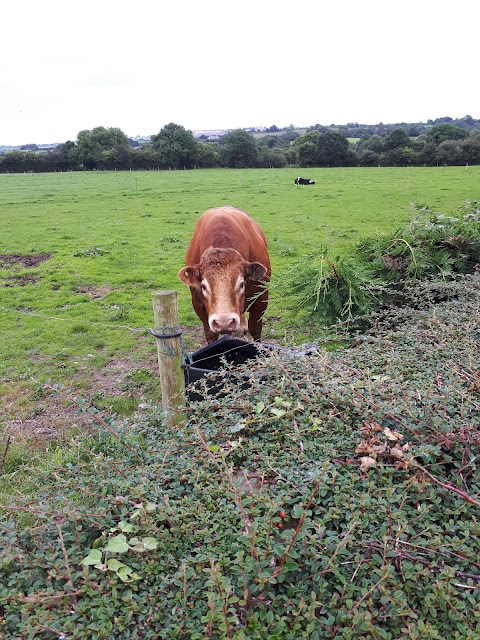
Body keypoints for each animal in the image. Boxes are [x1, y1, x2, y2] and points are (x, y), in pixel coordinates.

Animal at [179, 208, 270, 342]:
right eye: (203, 286)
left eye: (241, 284)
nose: (224, 322)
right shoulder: (198, 304)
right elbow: (210, 334)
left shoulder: (261, 298)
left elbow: (255, 330)